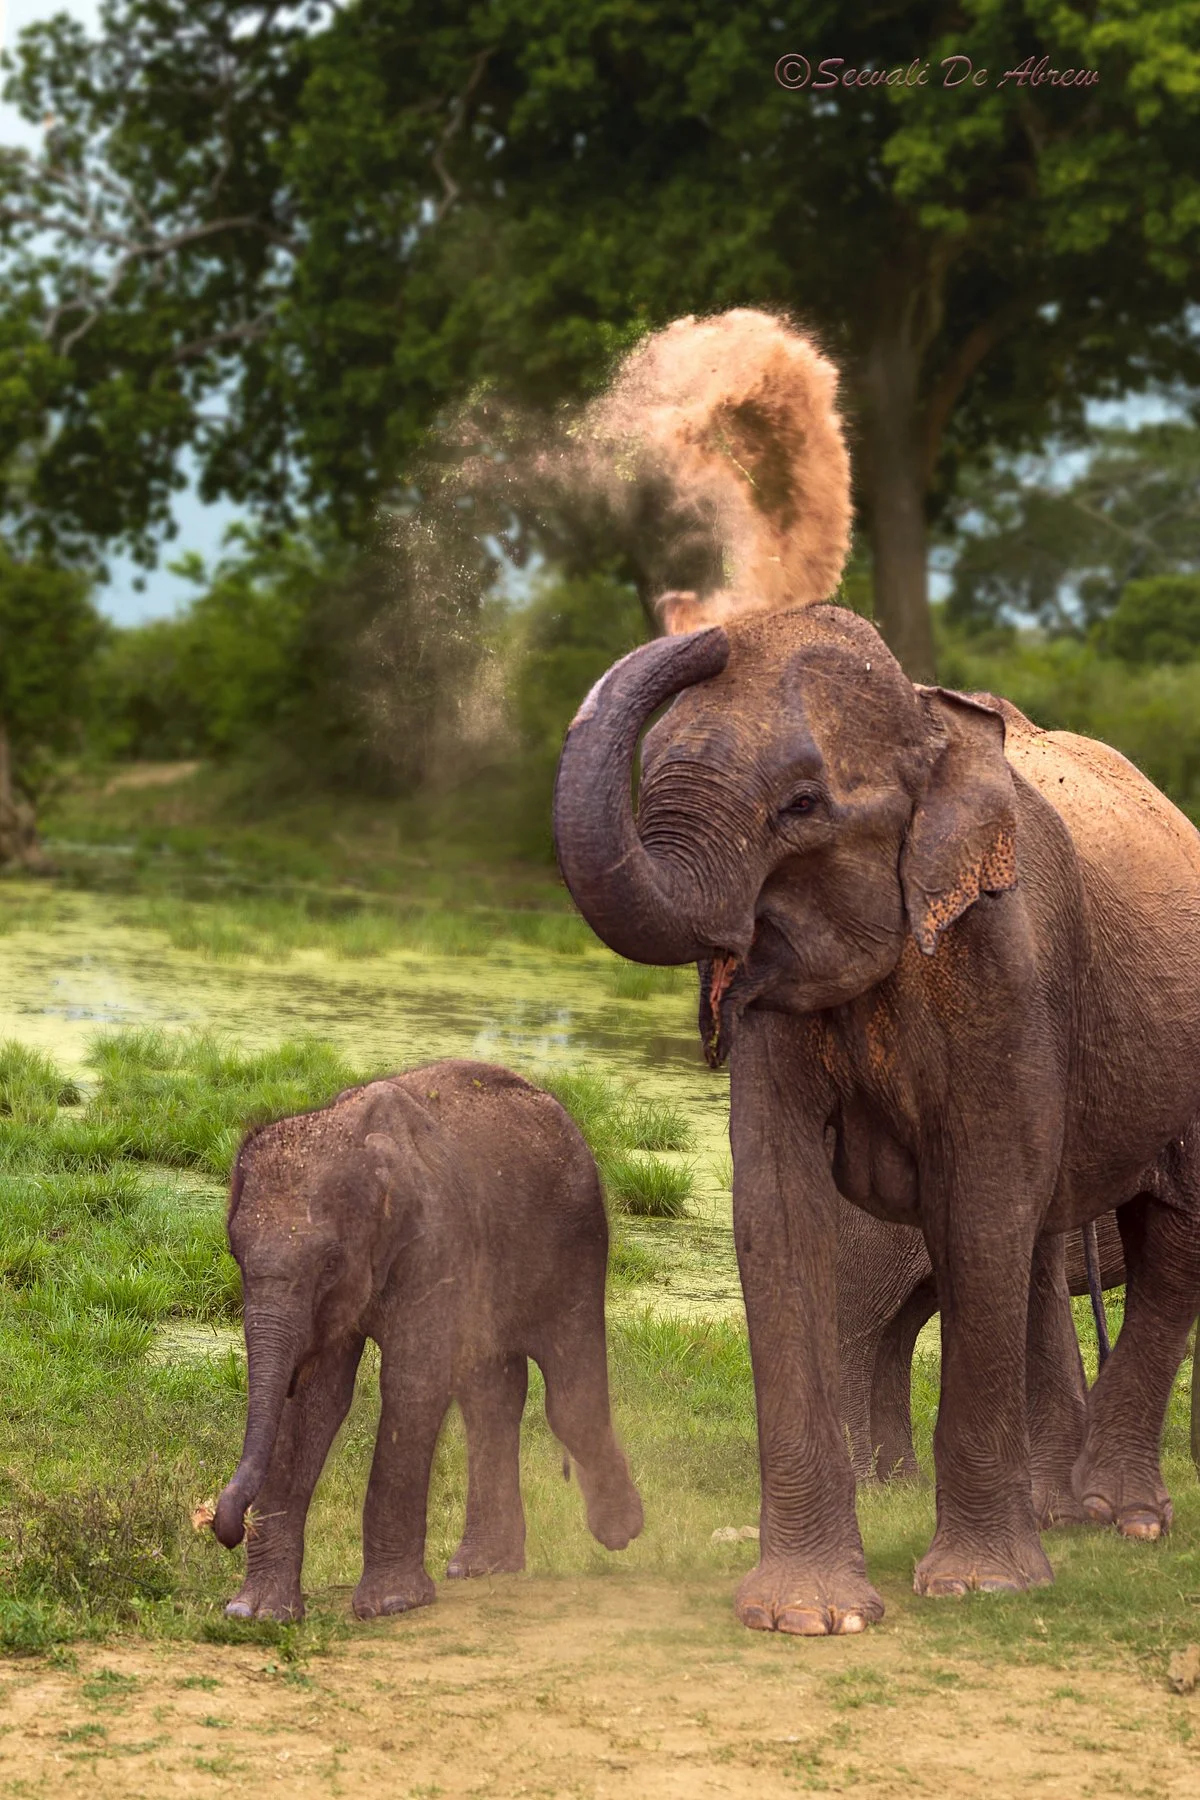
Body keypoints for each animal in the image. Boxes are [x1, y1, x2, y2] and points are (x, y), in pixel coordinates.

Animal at [211, 1060, 643, 1620]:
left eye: (330, 1262)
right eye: (235, 1254)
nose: (224, 1528)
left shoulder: (435, 1243)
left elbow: (411, 1383)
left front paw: (391, 1604)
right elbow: (313, 1398)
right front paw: (256, 1613)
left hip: (577, 1237)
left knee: (570, 1398)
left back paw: (619, 1530)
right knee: (491, 1392)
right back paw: (485, 1565)